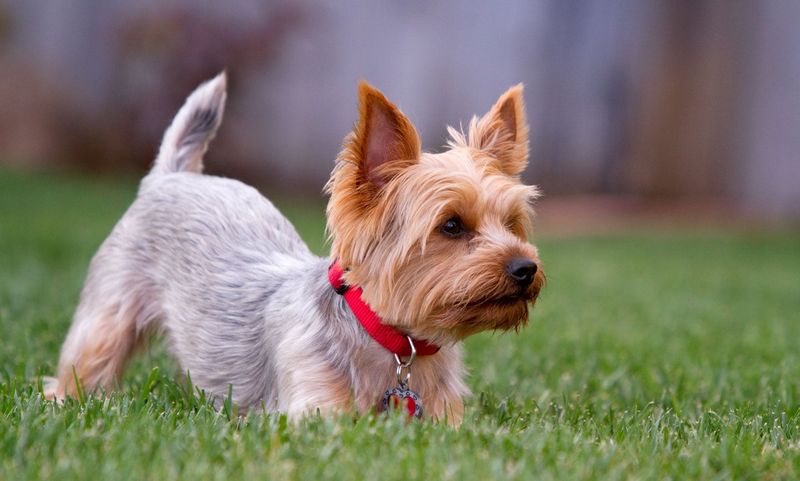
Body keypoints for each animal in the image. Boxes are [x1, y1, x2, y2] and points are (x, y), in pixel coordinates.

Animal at [43, 72, 544, 424]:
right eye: (452, 226)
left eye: (512, 224)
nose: (526, 268)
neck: (391, 341)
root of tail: (171, 175)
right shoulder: (313, 409)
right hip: (111, 309)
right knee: (86, 361)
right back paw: (66, 398)